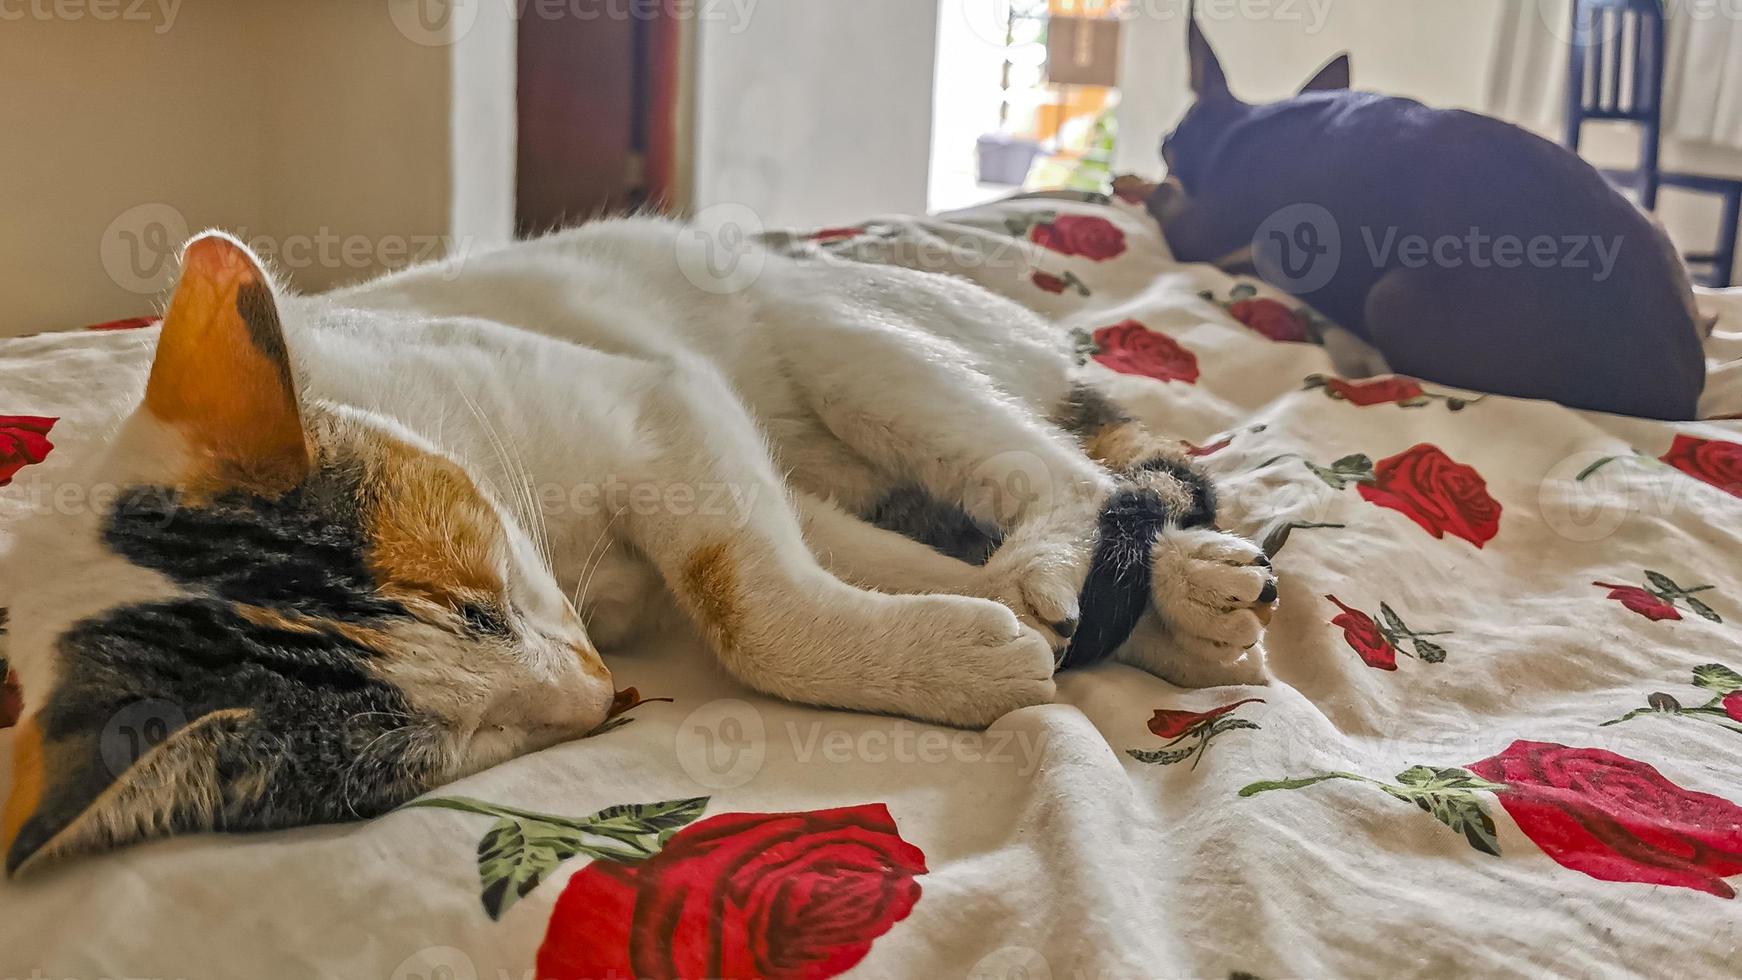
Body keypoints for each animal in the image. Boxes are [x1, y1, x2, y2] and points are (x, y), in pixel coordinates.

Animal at [0, 222, 1282, 873]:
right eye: (447, 742)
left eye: (483, 589)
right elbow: (831, 575)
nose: (590, 691)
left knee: (1066, 471)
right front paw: (972, 643)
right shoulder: (749, 478)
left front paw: (991, 651)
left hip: (851, 347)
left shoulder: (657, 402)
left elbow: (750, 607)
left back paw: (1126, 579)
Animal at [1142, 17, 1700, 419]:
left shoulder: (1195, 231)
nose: (1165, 157)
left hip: (1392, 299)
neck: (1242, 126)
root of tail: (1679, 393)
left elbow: (1164, 201)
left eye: (1165, 144)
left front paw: (1143, 188)